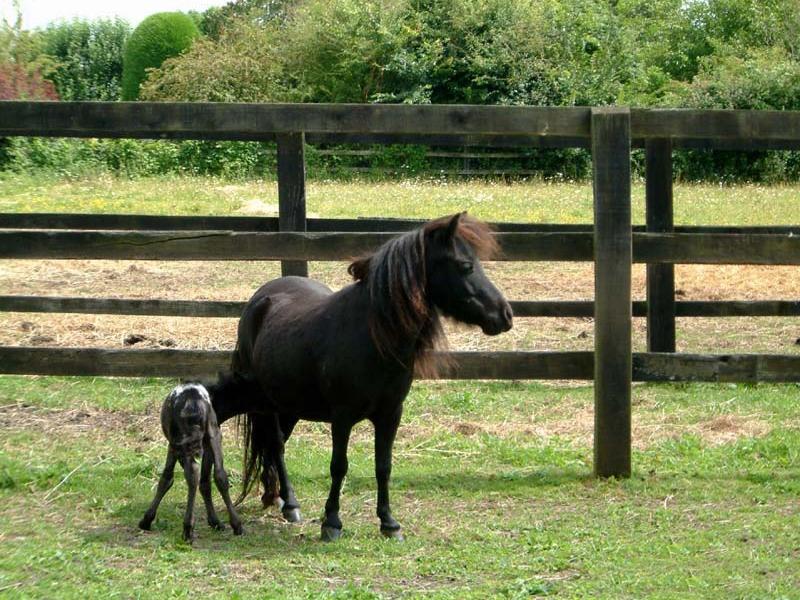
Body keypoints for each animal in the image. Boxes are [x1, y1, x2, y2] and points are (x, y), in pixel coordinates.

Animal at [139, 384, 244, 544]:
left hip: (181, 441)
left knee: (192, 473)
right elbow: (206, 481)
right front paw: (215, 522)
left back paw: (188, 529)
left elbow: (166, 478)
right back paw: (236, 525)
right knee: (220, 475)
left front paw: (146, 520)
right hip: (213, 433)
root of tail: (194, 399)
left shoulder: (173, 445)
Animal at [231, 213, 512, 540]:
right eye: (465, 265)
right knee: (276, 444)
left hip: (290, 404)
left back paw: (275, 497)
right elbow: (339, 466)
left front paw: (389, 522)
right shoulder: (342, 417)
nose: (505, 315)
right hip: (267, 403)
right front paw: (331, 522)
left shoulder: (391, 414)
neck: (373, 337)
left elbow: (383, 466)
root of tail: (260, 299)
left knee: (276, 447)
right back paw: (289, 503)